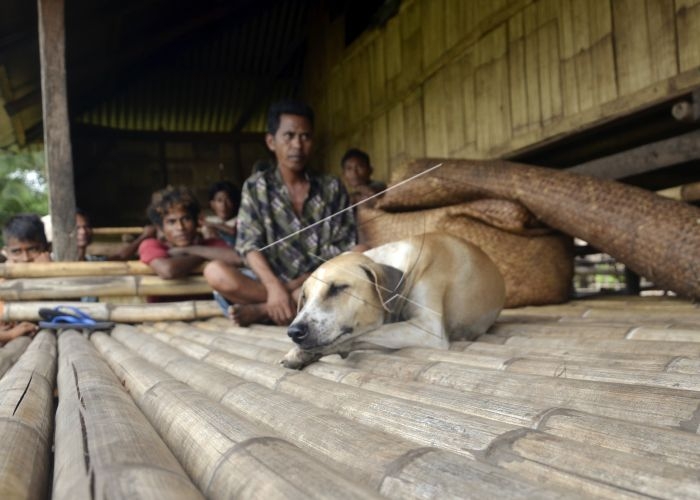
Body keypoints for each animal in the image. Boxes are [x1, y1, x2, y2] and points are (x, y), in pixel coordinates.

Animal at [282, 232, 506, 370]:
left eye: (338, 288)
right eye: (304, 297)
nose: (294, 332)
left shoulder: (427, 329)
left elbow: (360, 334)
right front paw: (300, 353)